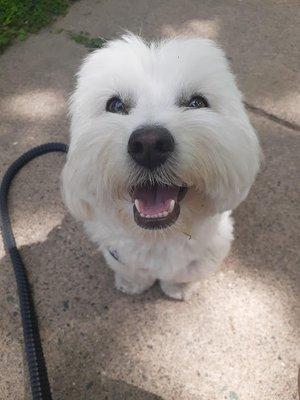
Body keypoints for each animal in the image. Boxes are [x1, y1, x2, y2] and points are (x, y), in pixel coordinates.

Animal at [62, 35, 262, 300]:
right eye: (115, 105)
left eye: (196, 102)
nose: (149, 145)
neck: (158, 238)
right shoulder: (117, 252)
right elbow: (132, 270)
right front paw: (132, 283)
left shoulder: (207, 251)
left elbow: (185, 272)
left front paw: (179, 287)